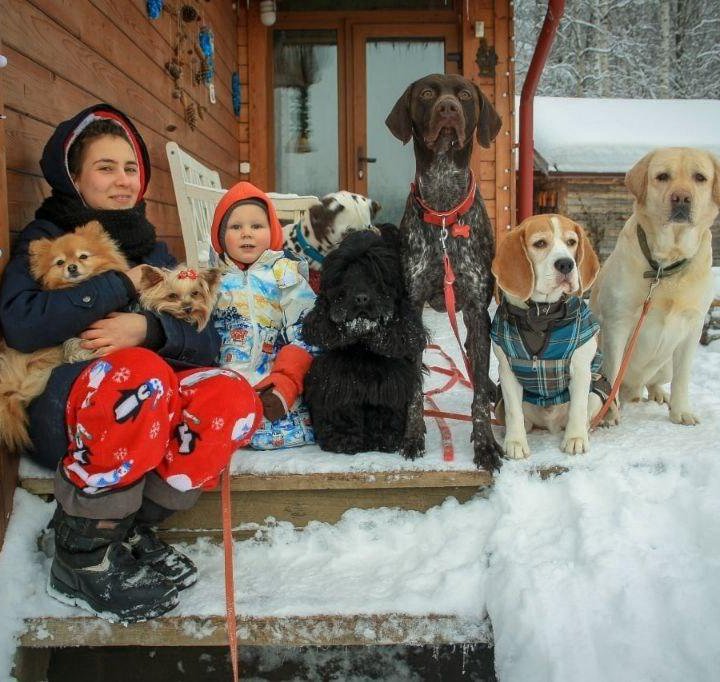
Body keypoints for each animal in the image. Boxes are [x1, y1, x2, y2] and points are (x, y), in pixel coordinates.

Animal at [302, 226, 428, 454]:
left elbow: (384, 411)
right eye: (344, 274)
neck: (363, 346)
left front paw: (384, 439)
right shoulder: (335, 383)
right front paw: (343, 440)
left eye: (377, 276)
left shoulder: (392, 385)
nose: (361, 298)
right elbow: (342, 411)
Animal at [386, 73, 504, 468]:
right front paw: (413, 435)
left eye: (465, 94)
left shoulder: (478, 309)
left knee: (475, 364)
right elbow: (413, 389)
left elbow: (479, 392)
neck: (442, 210)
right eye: (426, 93)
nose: (448, 108)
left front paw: (485, 445)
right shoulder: (412, 308)